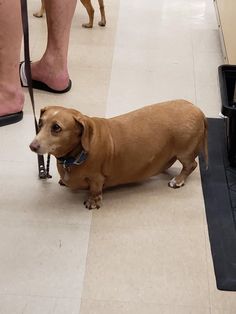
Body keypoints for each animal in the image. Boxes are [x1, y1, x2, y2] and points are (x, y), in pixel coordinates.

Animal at [30, 99, 208, 210]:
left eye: (56, 128)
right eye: (40, 123)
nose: (32, 146)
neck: (77, 155)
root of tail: (198, 110)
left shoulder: (97, 178)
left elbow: (95, 190)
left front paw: (93, 202)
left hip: (184, 151)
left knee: (191, 165)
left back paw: (178, 180)